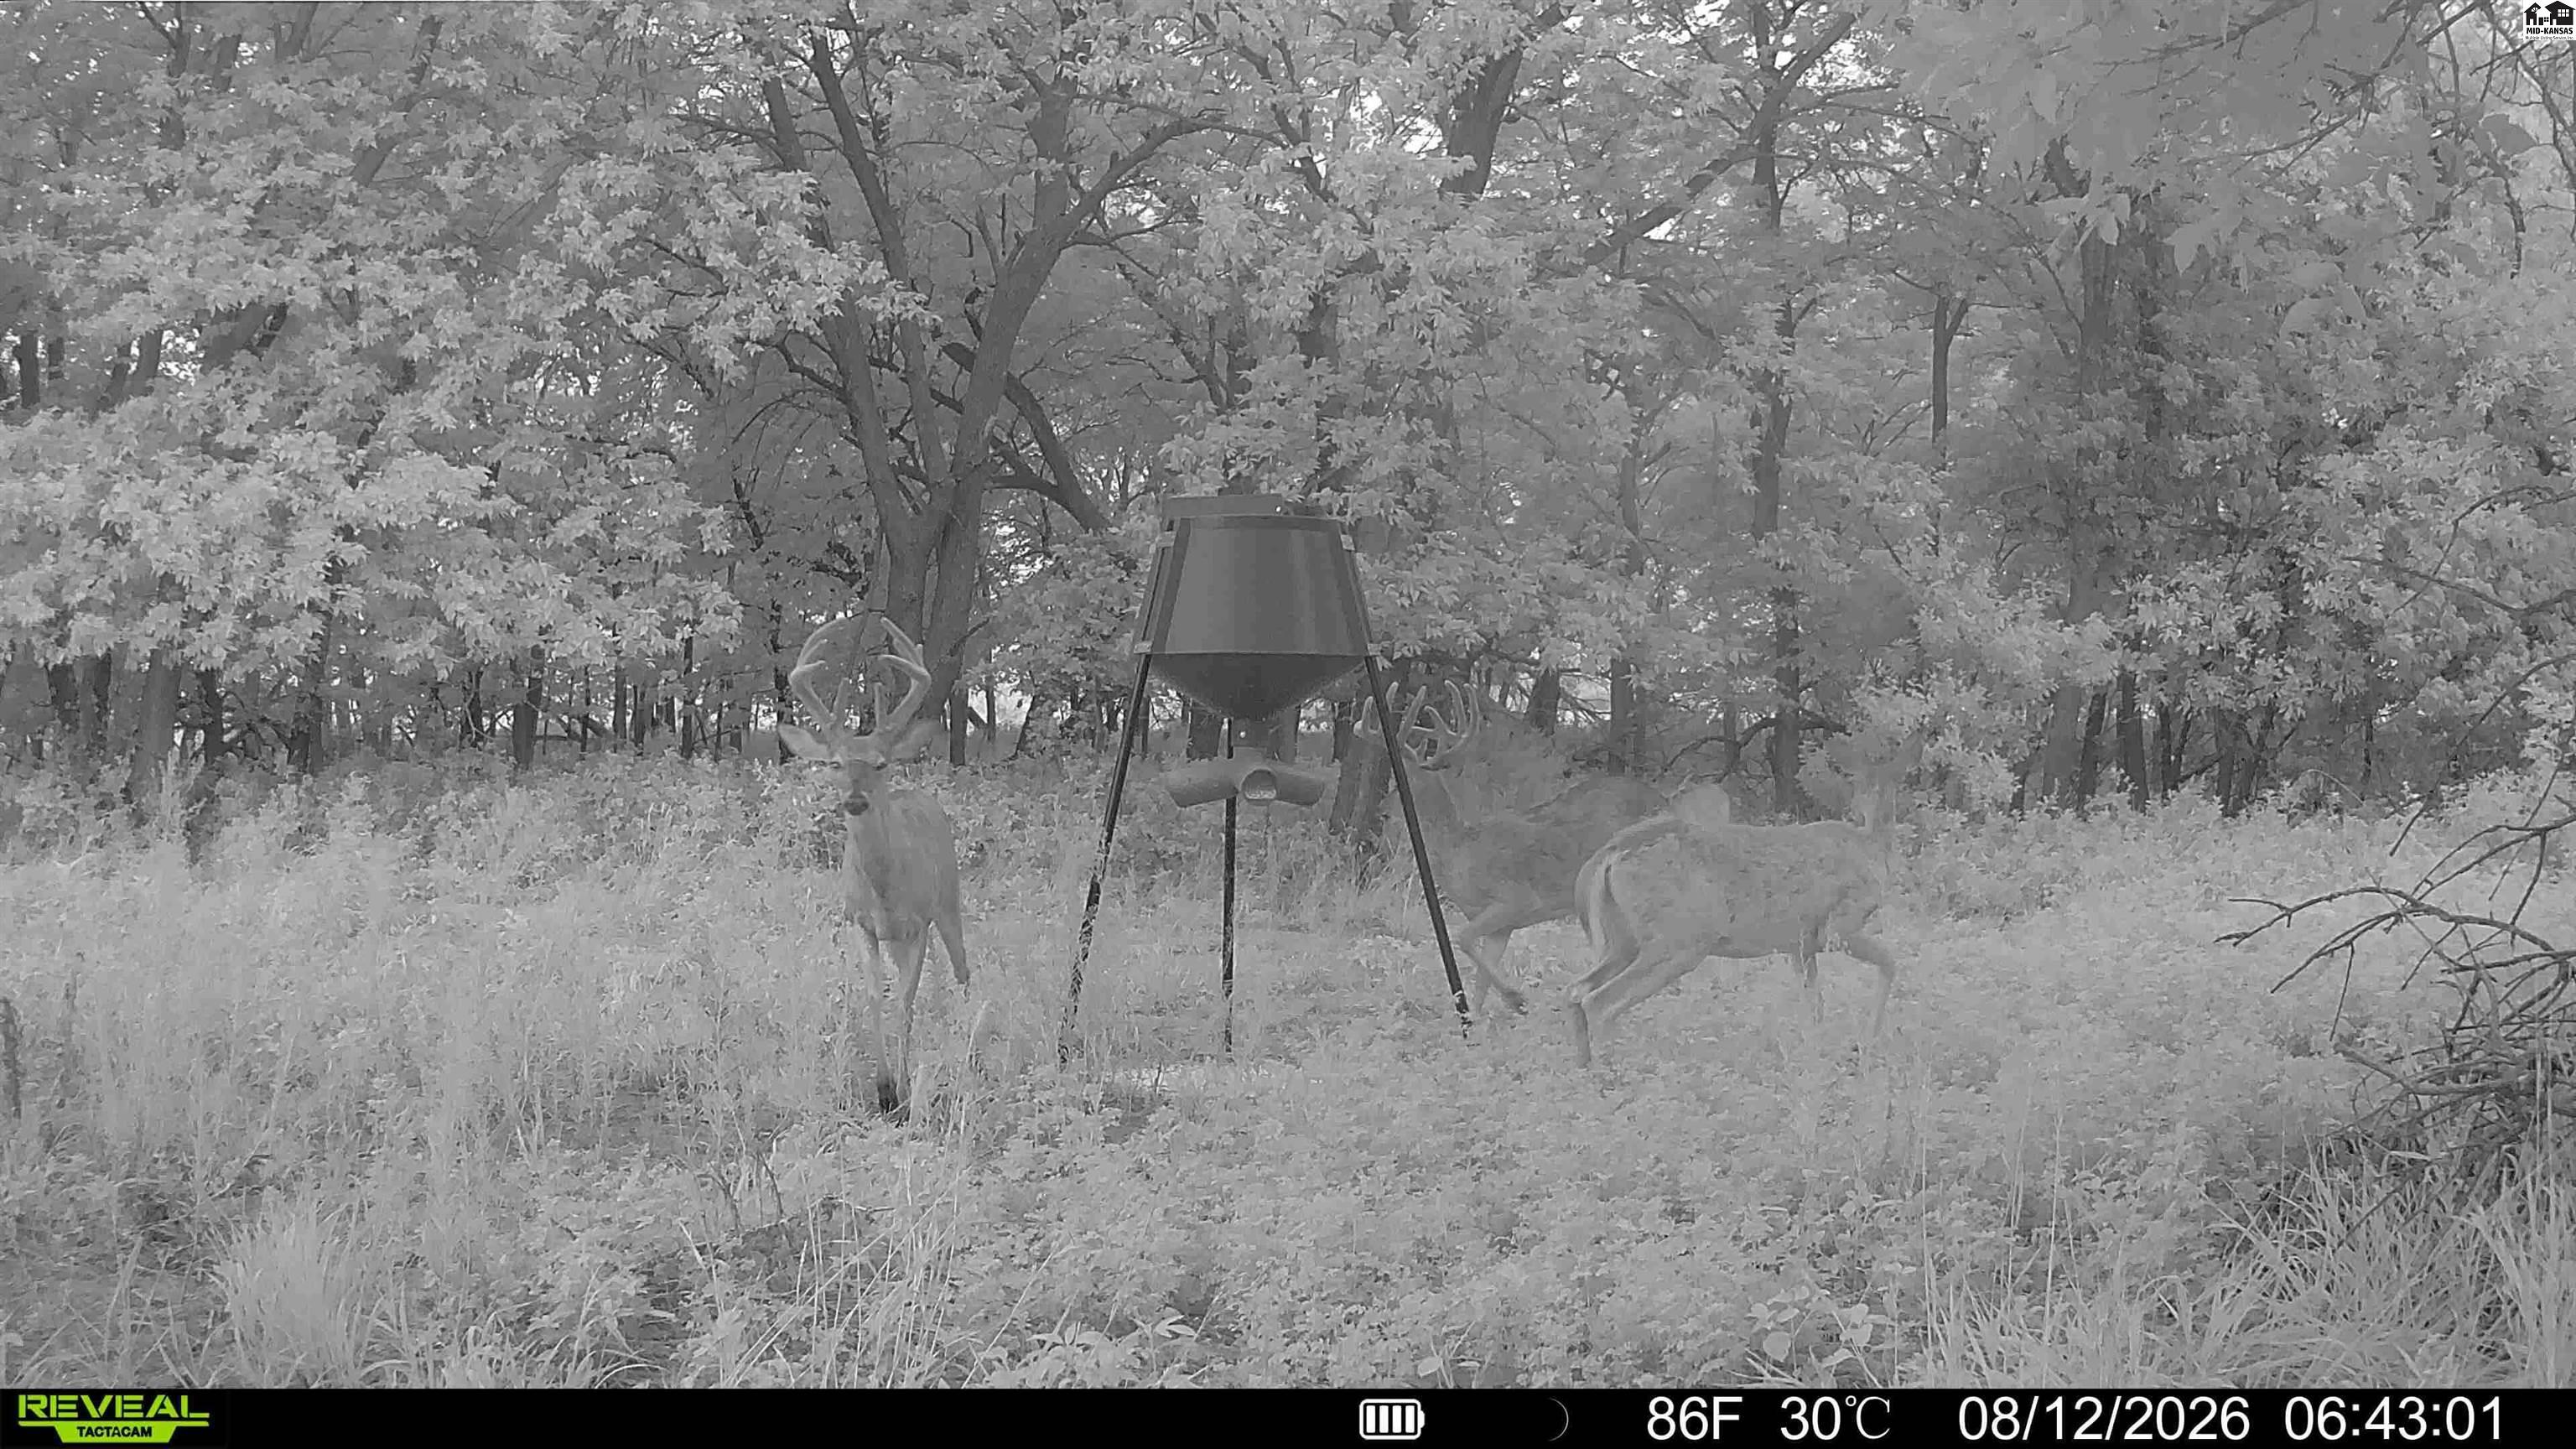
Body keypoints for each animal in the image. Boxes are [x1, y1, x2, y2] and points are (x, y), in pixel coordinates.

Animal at [776, 616, 967, 1113]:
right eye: (835, 763)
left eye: (880, 764)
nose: (856, 799)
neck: (884, 891)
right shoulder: (859, 923)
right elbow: (874, 998)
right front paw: (883, 1089)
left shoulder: (917, 924)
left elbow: (905, 1003)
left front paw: (903, 1092)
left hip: (949, 903)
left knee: (962, 972)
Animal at [1360, 679, 1680, 1018]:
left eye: (1398, 784)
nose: (1381, 811)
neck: (1458, 852)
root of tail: (1666, 804)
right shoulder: (1503, 925)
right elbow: (1480, 978)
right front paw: (1479, 1018)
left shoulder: (1515, 899)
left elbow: (1462, 937)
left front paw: (1517, 998)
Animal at [1563, 732, 1927, 1069]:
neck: (1872, 845)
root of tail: (1611, 854)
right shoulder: (1840, 926)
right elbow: (1890, 963)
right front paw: (1867, 1043)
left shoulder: (1800, 945)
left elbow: (1815, 1002)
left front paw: (1815, 1050)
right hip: (1679, 940)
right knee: (1600, 1001)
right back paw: (1614, 1071)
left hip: (1622, 939)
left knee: (1576, 990)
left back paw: (1584, 1069)